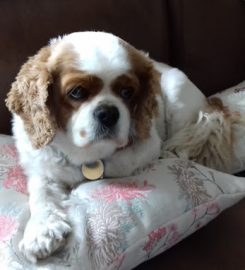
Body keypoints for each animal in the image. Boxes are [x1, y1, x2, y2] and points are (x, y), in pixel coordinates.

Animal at [4, 31, 245, 262]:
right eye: (77, 92)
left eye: (127, 93)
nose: (108, 112)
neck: (88, 156)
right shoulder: (43, 168)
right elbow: (41, 194)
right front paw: (41, 230)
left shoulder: (144, 150)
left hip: (178, 96)